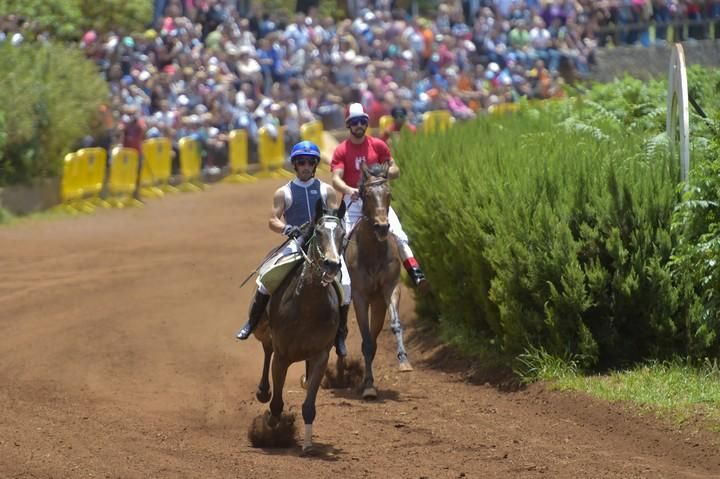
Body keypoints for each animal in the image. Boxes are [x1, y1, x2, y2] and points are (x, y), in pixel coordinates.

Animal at [250, 198, 346, 454]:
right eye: (319, 232)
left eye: (342, 234)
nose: (332, 264)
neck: (307, 306)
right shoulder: (282, 355)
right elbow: (276, 404)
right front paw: (271, 427)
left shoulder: (321, 354)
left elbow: (309, 405)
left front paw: (308, 445)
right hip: (262, 330)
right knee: (266, 349)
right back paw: (263, 391)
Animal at [344, 162, 410, 402]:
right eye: (367, 195)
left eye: (388, 194)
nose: (382, 227)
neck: (372, 252)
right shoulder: (359, 296)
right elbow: (365, 339)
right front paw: (369, 387)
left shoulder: (390, 289)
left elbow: (394, 325)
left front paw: (404, 361)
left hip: (378, 304)